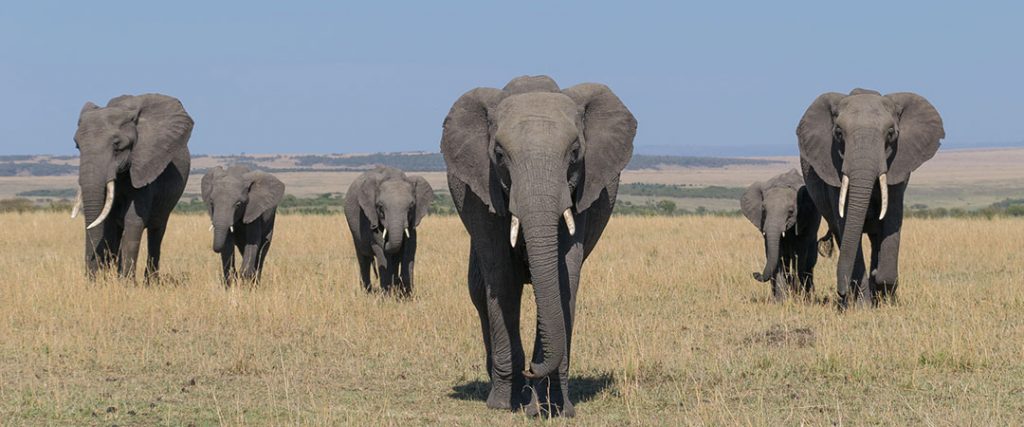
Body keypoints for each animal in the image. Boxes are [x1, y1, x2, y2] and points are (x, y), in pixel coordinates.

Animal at [72, 93, 193, 278]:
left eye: (117, 146)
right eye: (77, 145)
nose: (91, 279)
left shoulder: (145, 167)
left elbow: (133, 220)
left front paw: (125, 282)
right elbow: (108, 225)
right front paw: (107, 280)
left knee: (156, 232)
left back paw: (150, 281)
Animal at [344, 165, 432, 296]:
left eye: (411, 207)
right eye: (380, 207)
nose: (373, 227)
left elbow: (409, 248)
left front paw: (406, 295)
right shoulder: (370, 217)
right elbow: (381, 251)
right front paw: (387, 296)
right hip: (354, 232)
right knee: (364, 259)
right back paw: (367, 293)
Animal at [741, 167, 819, 301]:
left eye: (791, 211)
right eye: (763, 210)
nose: (755, 273)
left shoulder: (806, 217)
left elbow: (800, 255)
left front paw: (799, 297)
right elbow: (777, 256)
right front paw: (781, 300)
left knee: (809, 261)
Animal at [794, 88, 946, 307]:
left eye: (890, 134)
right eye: (838, 134)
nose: (840, 292)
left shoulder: (898, 166)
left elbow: (892, 220)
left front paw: (884, 289)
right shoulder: (833, 169)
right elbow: (846, 224)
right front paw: (862, 304)